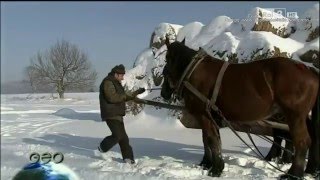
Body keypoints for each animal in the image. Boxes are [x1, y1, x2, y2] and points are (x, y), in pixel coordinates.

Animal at [161, 40, 318, 179]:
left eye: (166, 60)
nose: (163, 93)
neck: (192, 71)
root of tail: (308, 69)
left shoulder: (203, 115)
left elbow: (210, 139)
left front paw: (215, 169)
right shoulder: (212, 116)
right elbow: (211, 139)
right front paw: (209, 164)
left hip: (294, 116)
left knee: (301, 141)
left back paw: (294, 174)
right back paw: (310, 169)